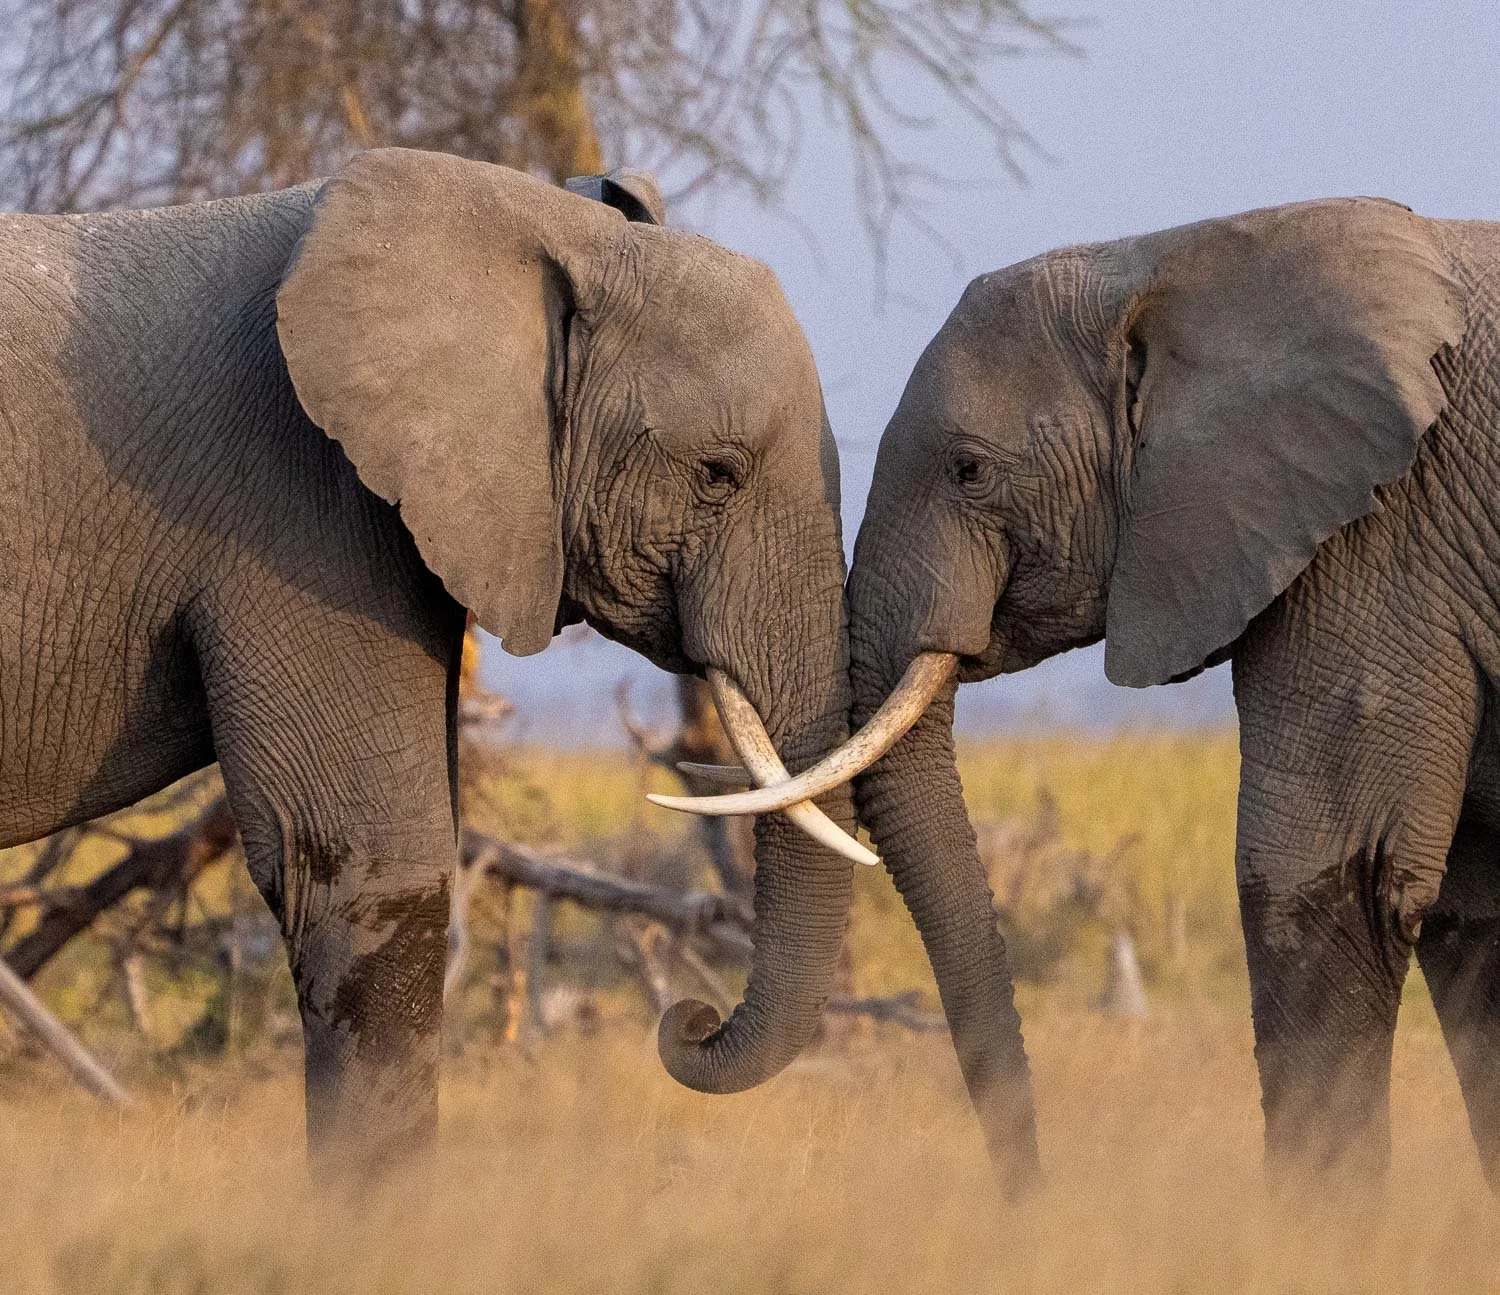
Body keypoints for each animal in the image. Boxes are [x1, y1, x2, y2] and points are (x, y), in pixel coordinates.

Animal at [828, 196, 1500, 1193]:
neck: (1163, 262)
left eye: (968, 471)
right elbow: (1470, 911)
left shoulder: (1383, 538)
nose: (1033, 1204)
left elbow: (1332, 881)